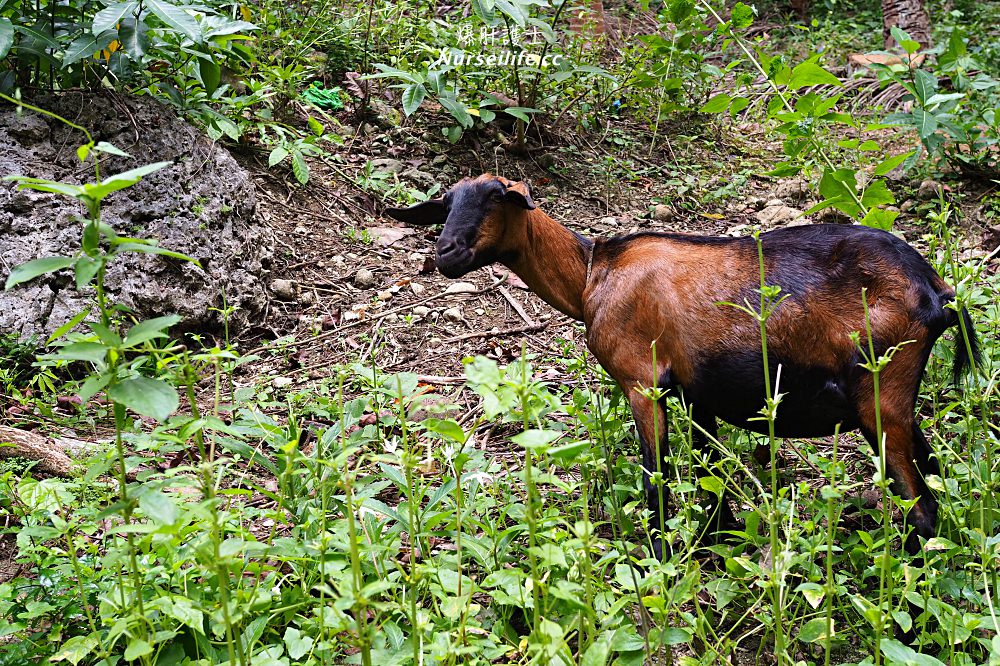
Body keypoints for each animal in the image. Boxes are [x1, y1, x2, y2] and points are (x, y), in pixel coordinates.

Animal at [386, 172, 980, 556]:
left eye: (496, 198)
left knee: (922, 506)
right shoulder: (698, 394)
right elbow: (709, 479)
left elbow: (657, 477)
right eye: (445, 204)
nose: (446, 253)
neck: (593, 273)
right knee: (931, 475)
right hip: (895, 399)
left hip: (881, 392)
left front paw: (662, 562)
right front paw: (718, 547)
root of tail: (937, 290)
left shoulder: (642, 383)